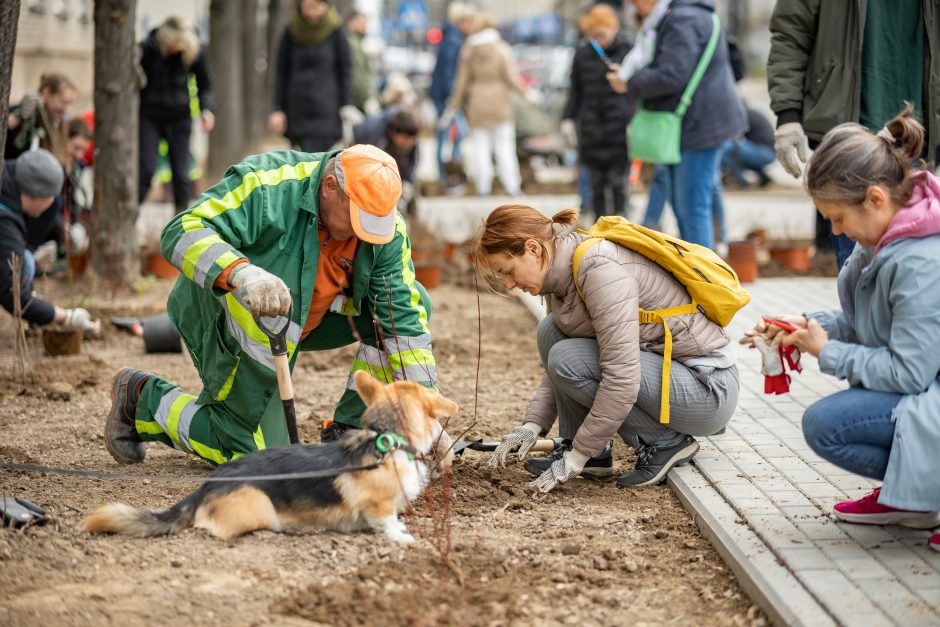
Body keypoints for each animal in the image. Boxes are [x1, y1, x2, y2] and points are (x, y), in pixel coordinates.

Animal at [82, 372, 458, 544]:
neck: (388, 438)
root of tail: (206, 487)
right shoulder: (378, 505)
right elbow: (387, 521)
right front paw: (402, 537)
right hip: (259, 507)